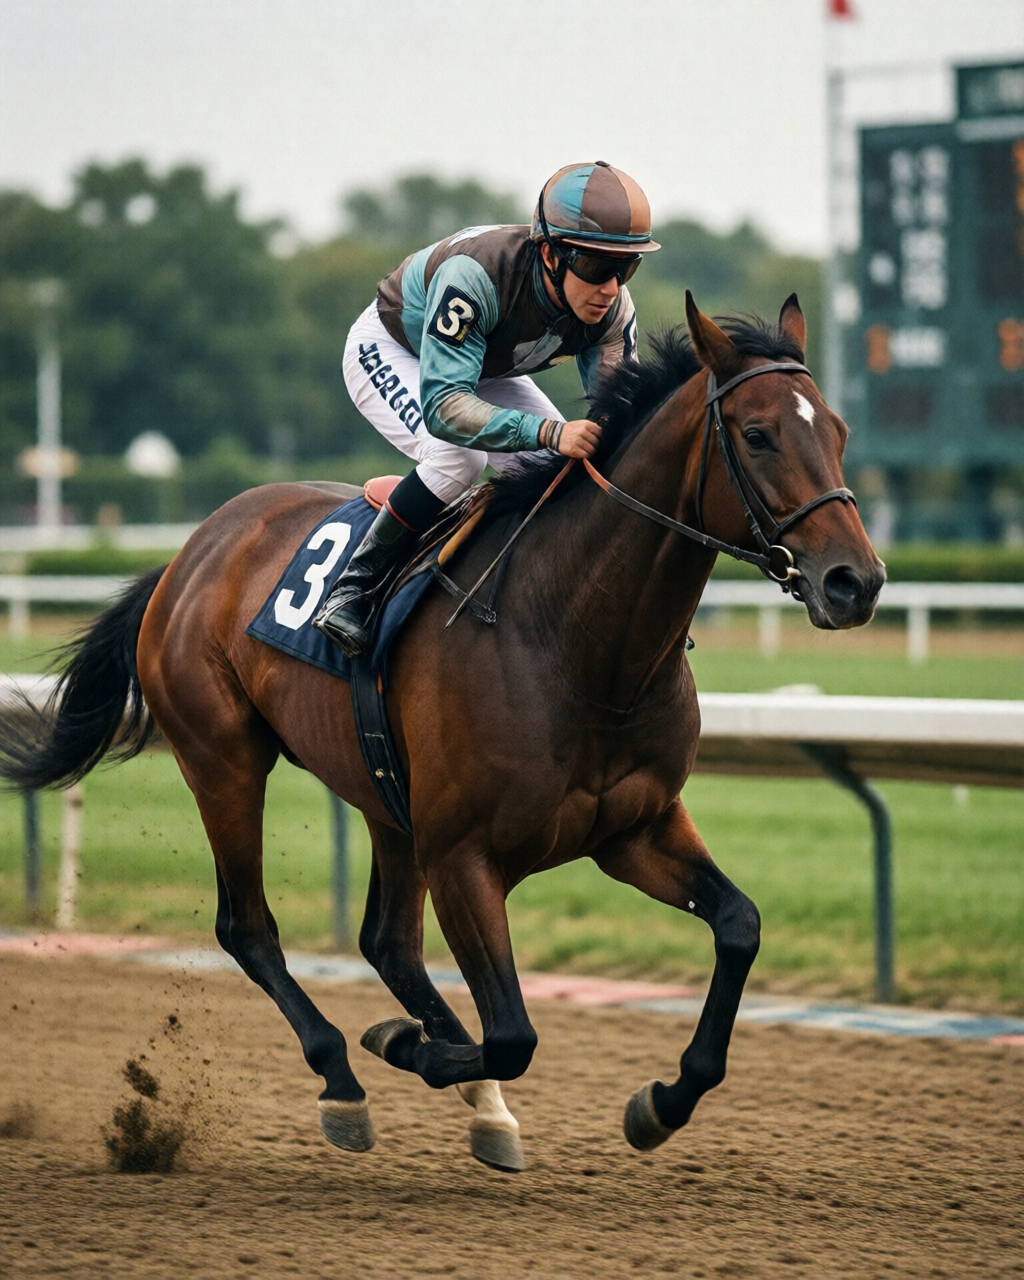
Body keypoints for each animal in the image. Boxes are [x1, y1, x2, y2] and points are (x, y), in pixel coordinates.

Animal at [0, 293, 884, 1173]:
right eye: (759, 434)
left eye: (840, 431)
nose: (857, 582)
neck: (575, 642)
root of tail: (187, 555)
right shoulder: (464, 855)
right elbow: (515, 1032)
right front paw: (405, 1047)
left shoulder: (634, 829)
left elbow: (739, 926)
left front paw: (660, 1102)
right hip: (223, 759)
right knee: (249, 928)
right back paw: (346, 1080)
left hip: (386, 797)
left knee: (387, 942)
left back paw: (479, 1102)